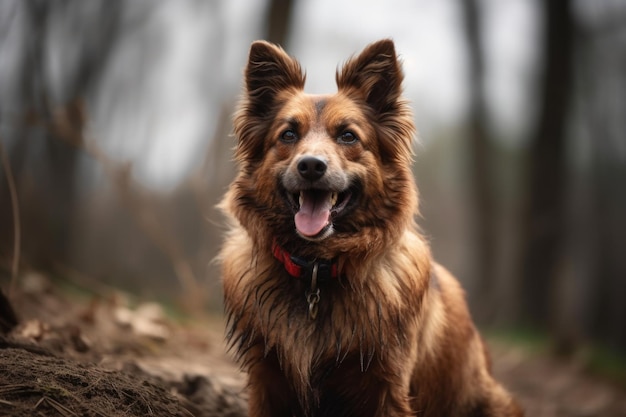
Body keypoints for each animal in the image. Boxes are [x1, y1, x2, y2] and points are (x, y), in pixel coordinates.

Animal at [217, 39, 520, 416]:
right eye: (288, 134)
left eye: (348, 136)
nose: (311, 166)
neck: (317, 272)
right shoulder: (267, 379)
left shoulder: (386, 384)